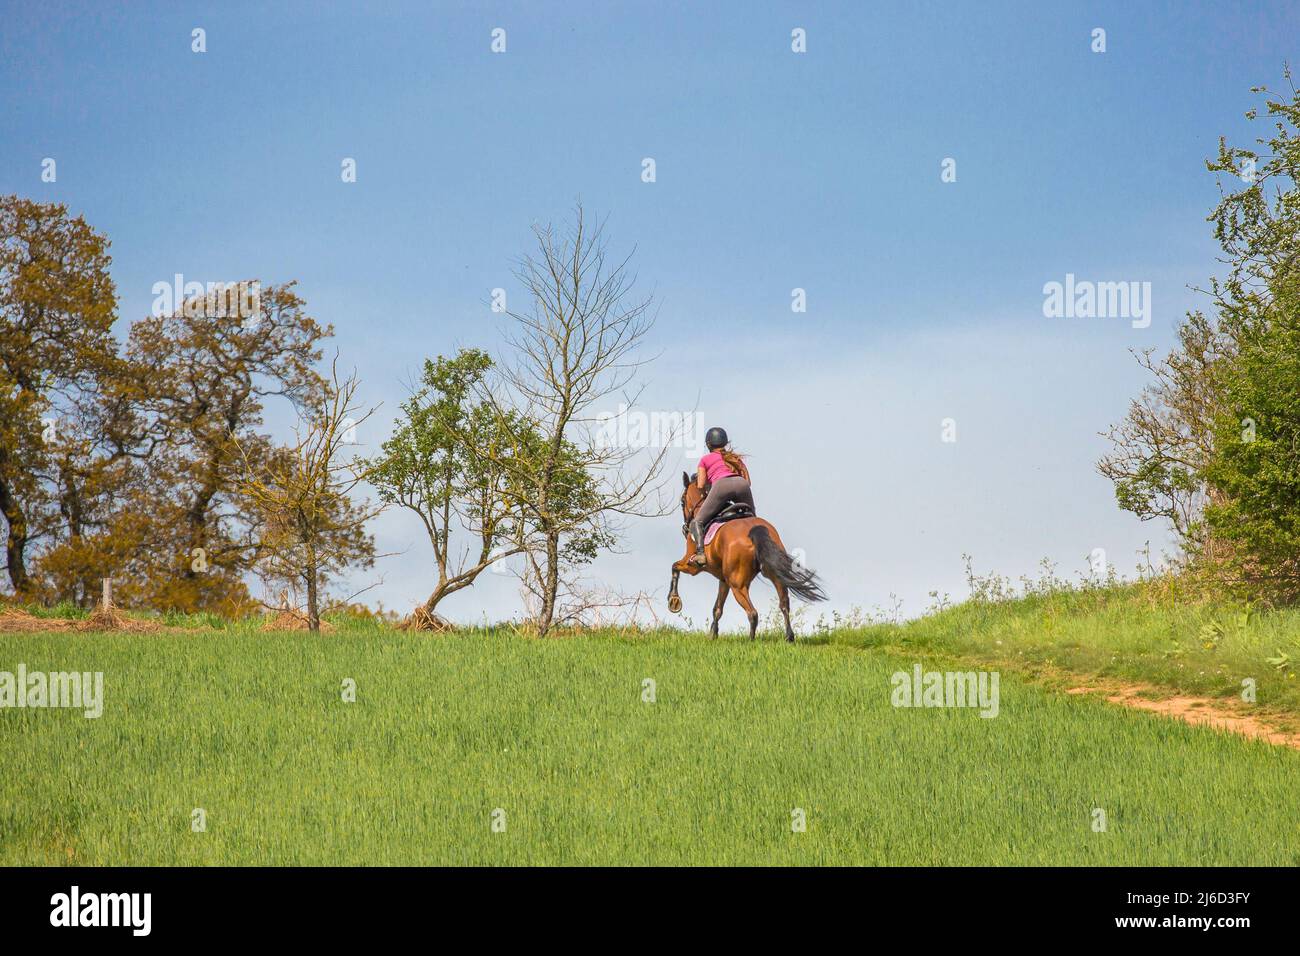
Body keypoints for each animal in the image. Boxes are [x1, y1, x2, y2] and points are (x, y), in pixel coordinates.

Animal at [667, 471, 826, 641]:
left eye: (682, 502)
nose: (685, 528)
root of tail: (755, 530)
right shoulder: (724, 580)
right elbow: (717, 608)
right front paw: (713, 634)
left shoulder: (692, 566)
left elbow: (674, 567)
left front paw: (674, 601)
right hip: (772, 575)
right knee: (783, 605)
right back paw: (789, 637)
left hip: (737, 585)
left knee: (753, 613)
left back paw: (751, 641)